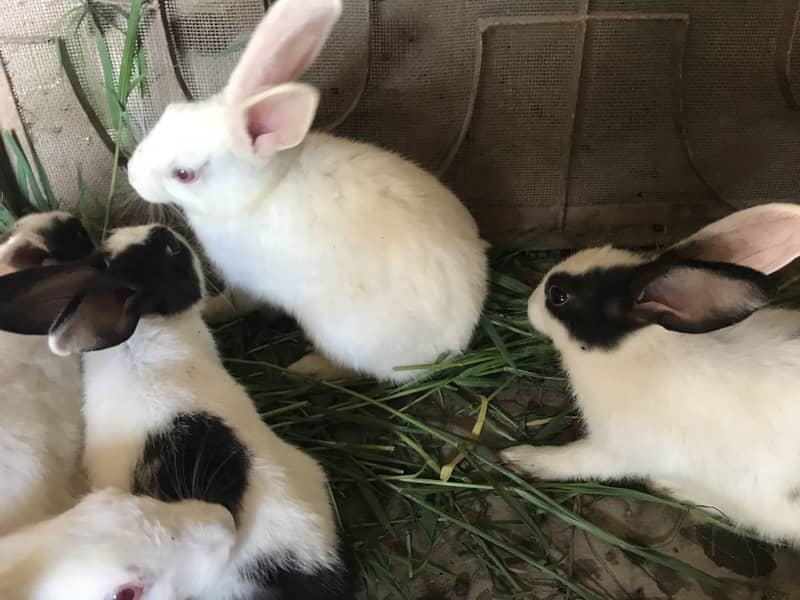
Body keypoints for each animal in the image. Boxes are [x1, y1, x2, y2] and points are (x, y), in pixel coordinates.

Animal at [125, 0, 489, 383]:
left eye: (184, 174)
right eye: (170, 112)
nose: (131, 175)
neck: (258, 193)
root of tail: (456, 341)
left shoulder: (248, 282)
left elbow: (238, 301)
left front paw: (211, 309)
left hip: (343, 336)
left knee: (349, 369)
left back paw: (306, 368)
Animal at [500, 202, 800, 545]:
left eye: (558, 296)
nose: (529, 303)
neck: (634, 352)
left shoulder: (620, 450)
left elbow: (574, 460)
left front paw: (521, 459)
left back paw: (671, 486)